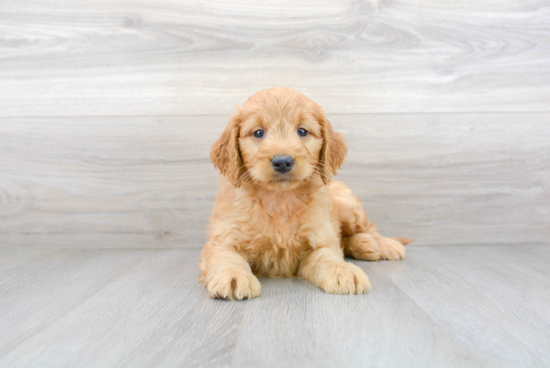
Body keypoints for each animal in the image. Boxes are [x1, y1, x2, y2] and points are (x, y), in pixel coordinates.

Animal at [199, 87, 414, 300]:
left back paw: (383, 244)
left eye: (302, 131)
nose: (282, 162)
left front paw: (343, 270)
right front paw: (232, 275)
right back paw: (365, 244)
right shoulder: (222, 239)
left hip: (348, 206)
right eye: (258, 133)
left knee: (367, 228)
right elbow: (226, 256)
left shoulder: (319, 239)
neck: (280, 199)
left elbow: (328, 256)